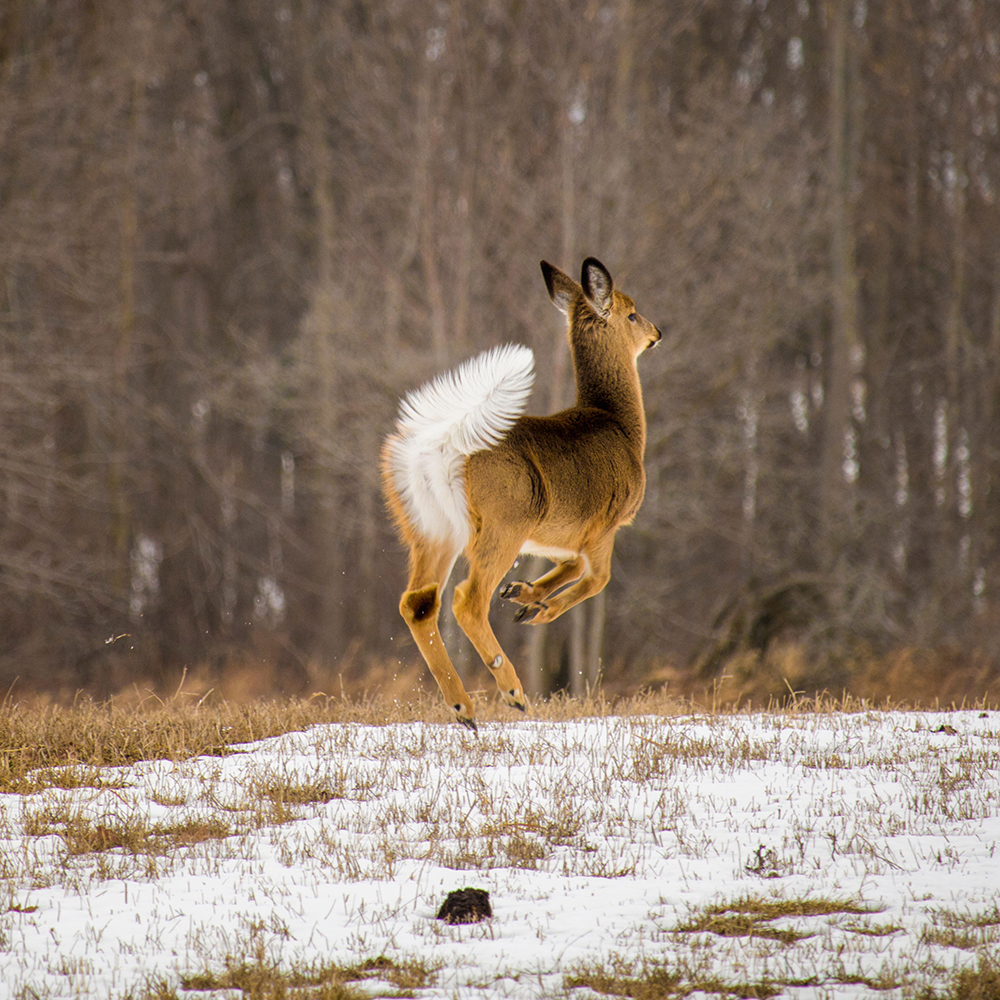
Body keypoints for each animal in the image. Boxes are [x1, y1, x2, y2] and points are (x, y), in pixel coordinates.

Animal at [381, 257, 661, 730]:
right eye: (632, 313)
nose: (657, 332)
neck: (621, 426)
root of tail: (441, 445)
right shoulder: (604, 524)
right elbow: (597, 578)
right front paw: (538, 610)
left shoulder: (559, 534)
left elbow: (570, 566)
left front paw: (524, 595)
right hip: (503, 520)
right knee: (466, 600)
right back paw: (511, 689)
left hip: (429, 528)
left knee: (417, 602)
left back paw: (464, 708)